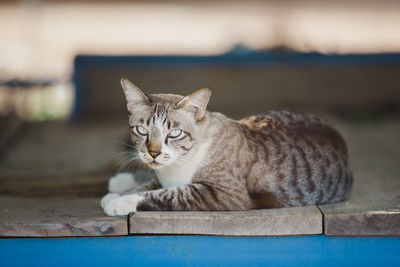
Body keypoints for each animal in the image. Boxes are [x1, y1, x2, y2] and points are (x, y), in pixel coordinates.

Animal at [101, 78, 352, 217]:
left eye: (174, 134)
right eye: (142, 130)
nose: (153, 152)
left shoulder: (225, 194)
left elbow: (168, 194)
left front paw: (119, 202)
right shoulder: (163, 174)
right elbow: (150, 183)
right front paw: (118, 194)